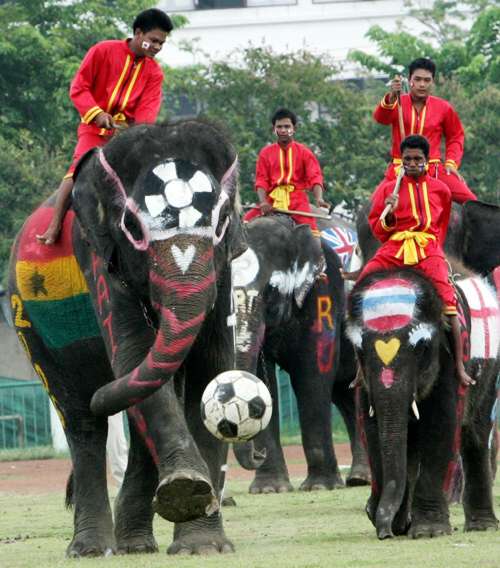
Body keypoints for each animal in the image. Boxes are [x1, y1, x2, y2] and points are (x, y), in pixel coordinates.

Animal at [6, 117, 249, 556]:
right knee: (81, 420)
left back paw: (135, 546)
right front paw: (187, 491)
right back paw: (90, 549)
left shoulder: (223, 269)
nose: (102, 393)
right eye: (133, 228)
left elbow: (212, 370)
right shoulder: (97, 256)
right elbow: (133, 353)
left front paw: (203, 544)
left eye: (222, 222)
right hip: (26, 320)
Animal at [231, 214, 372, 492]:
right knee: (346, 395)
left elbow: (312, 374)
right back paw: (359, 479)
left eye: (270, 291)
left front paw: (320, 487)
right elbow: (262, 380)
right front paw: (269, 489)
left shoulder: (324, 291)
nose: (258, 453)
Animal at [346, 264, 498, 540]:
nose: (385, 532)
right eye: (359, 350)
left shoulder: (452, 358)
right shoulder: (362, 378)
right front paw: (393, 521)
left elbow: (441, 427)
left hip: (490, 371)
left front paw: (429, 531)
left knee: (477, 435)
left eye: (422, 348)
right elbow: (371, 429)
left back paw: (482, 526)